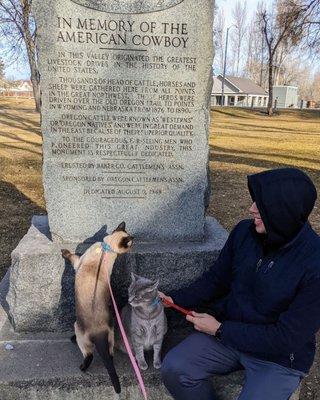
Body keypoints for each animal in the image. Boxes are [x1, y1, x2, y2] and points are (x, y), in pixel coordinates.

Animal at [62, 222, 133, 394]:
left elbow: (70, 255)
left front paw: (63, 252)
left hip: (78, 329)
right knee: (109, 356)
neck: (106, 249)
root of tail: (98, 332)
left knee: (89, 355)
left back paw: (81, 366)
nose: (134, 244)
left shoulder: (77, 262)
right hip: (110, 336)